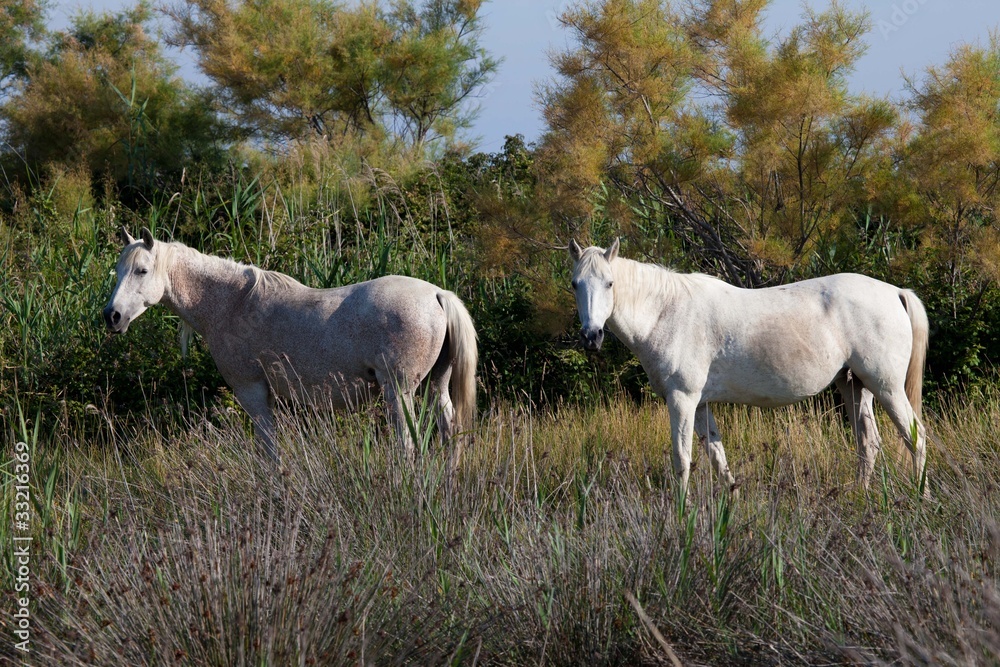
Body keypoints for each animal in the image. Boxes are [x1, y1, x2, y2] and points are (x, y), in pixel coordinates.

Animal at [103, 227, 478, 468]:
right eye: (118, 270)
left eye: (142, 270)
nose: (112, 315)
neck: (233, 303)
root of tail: (437, 294)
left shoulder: (252, 392)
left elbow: (268, 454)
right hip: (435, 386)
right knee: (451, 435)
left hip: (398, 392)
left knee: (407, 445)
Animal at [568, 239, 929, 496]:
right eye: (575, 284)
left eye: (610, 283)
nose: (591, 336)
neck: (666, 312)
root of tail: (896, 293)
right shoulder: (701, 404)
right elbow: (717, 455)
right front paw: (732, 500)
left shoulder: (682, 399)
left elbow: (682, 459)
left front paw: (681, 513)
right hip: (854, 386)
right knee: (868, 443)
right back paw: (860, 497)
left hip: (886, 387)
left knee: (916, 437)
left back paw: (921, 499)